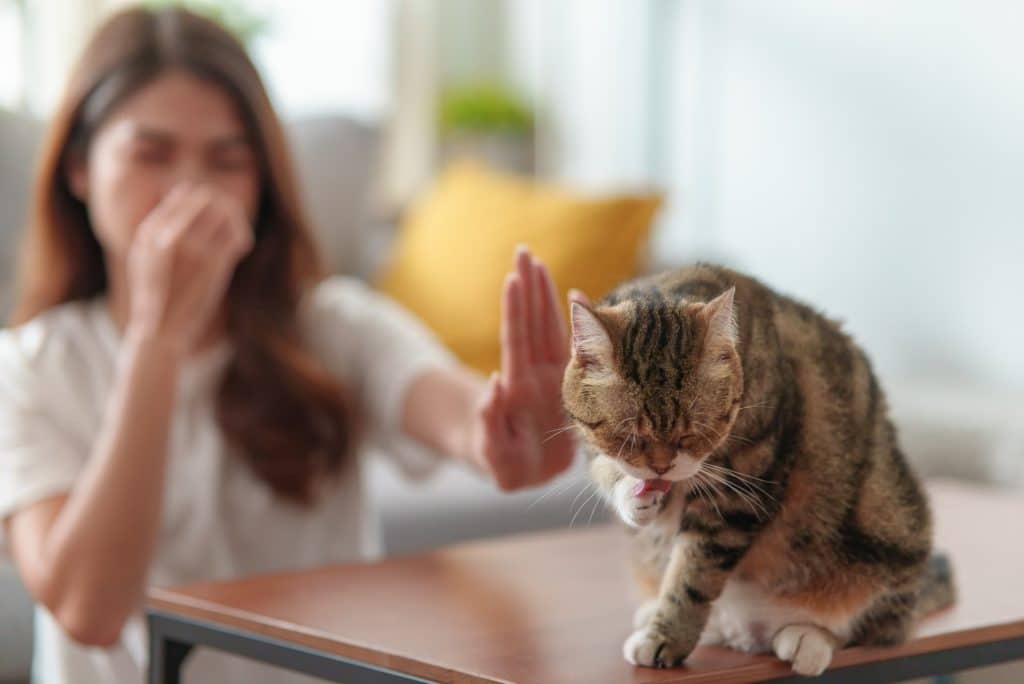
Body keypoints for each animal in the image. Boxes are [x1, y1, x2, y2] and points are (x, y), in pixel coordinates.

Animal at [561, 264, 950, 675]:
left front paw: (667, 638)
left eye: (691, 434)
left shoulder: (737, 494)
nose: (662, 466)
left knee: (872, 626)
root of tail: (747, 633)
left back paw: (810, 639)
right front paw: (636, 499)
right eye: (629, 437)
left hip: (888, 526)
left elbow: (692, 579)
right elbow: (608, 470)